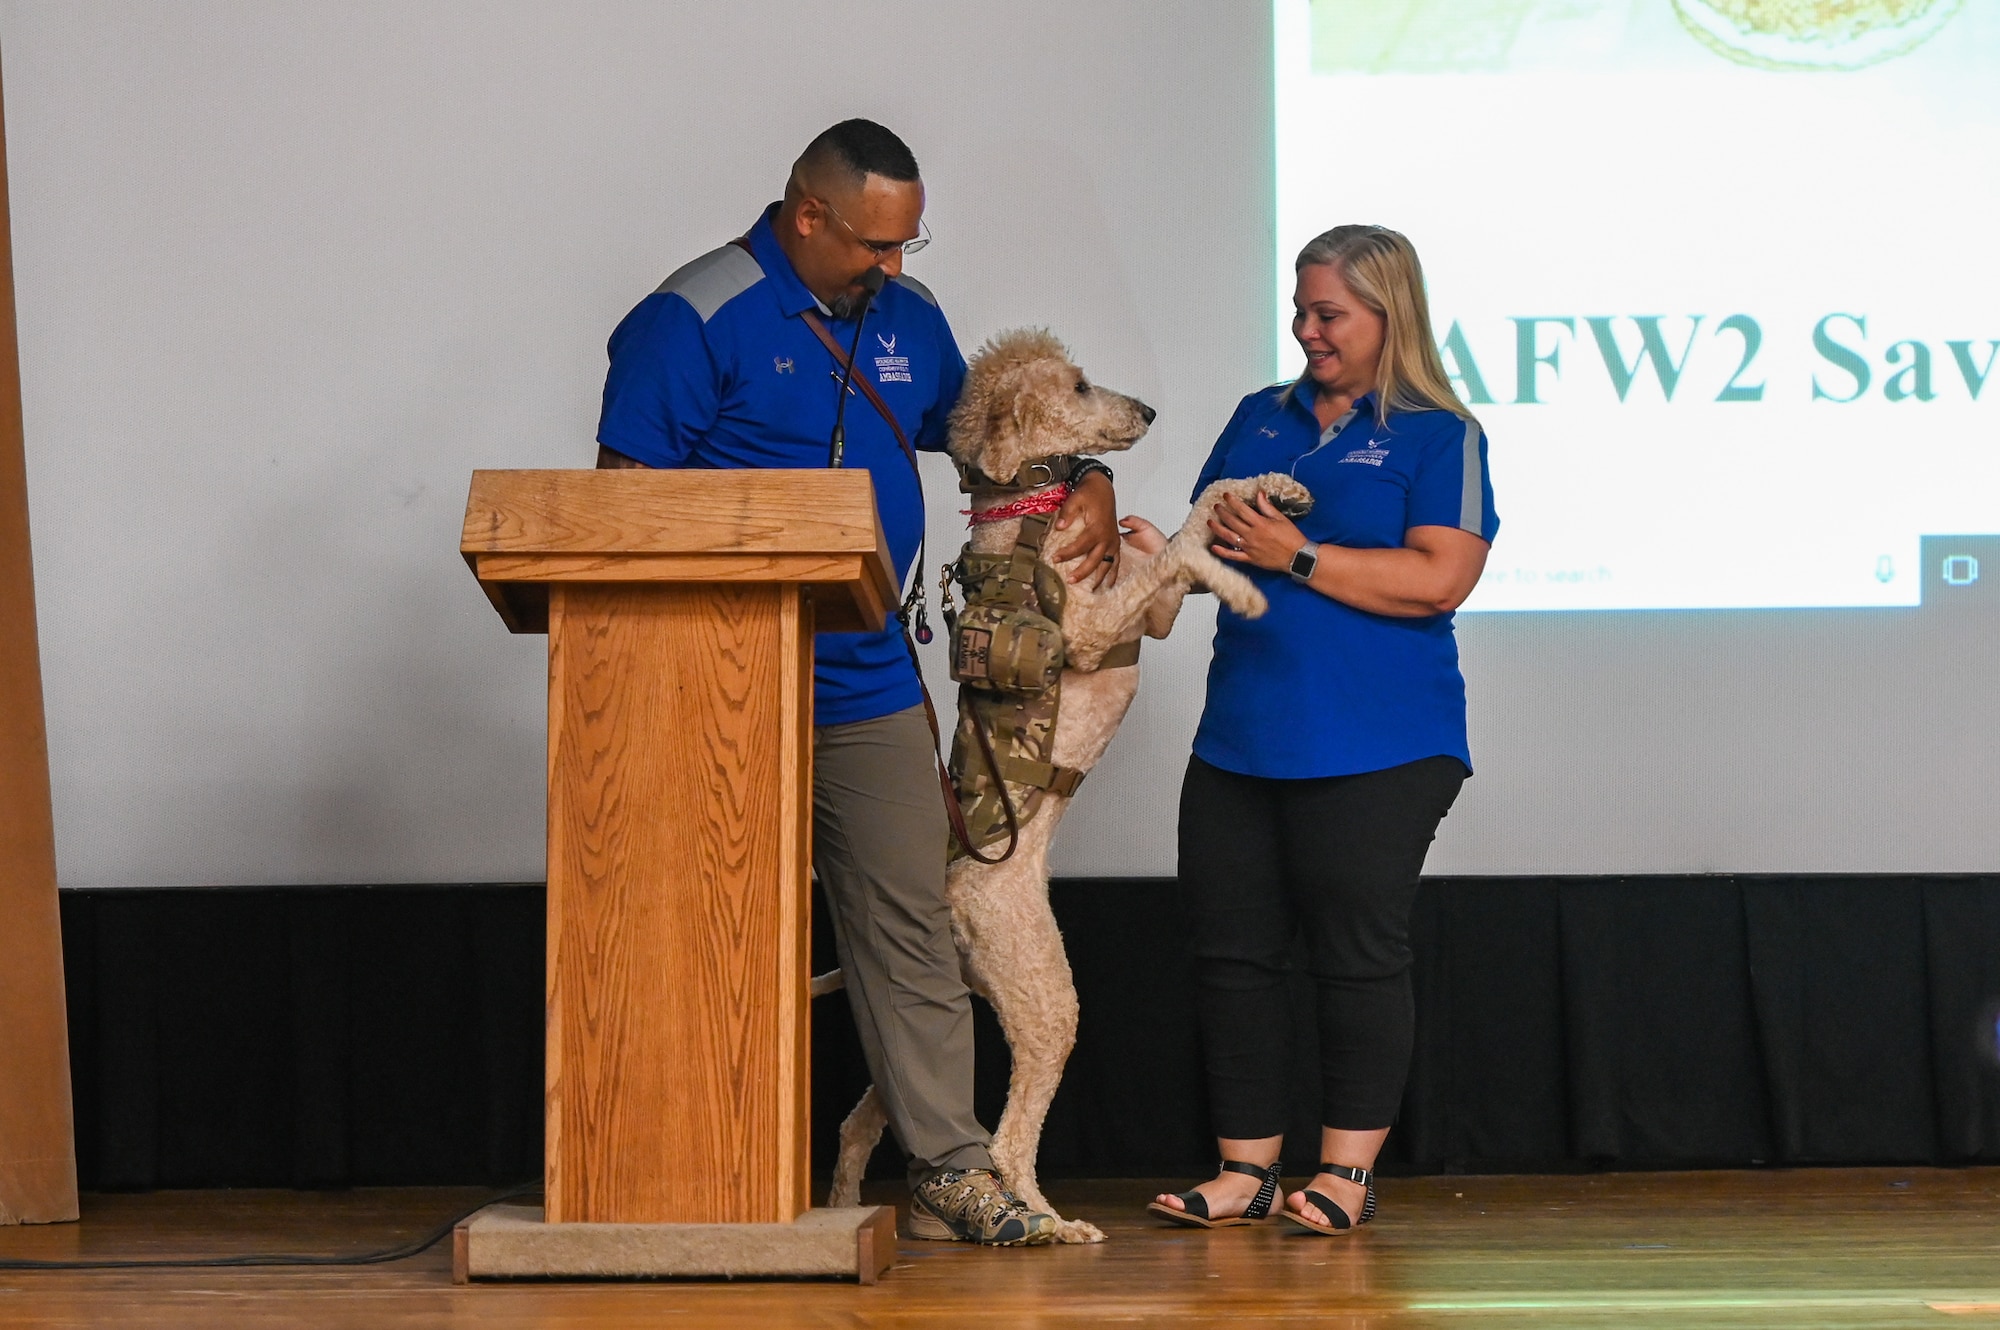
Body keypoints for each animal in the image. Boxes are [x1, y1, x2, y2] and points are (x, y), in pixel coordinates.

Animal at [816, 326, 1312, 1240]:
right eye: (1079, 386)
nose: (1146, 410)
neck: (1028, 518)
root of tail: (947, 895)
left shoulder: (1144, 612)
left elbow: (1193, 514)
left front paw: (1273, 489)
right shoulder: (1092, 628)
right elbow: (1181, 551)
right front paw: (1239, 584)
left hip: (971, 999)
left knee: (869, 1117)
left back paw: (871, 1213)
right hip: (1046, 1001)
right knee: (1008, 1140)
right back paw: (1044, 1222)